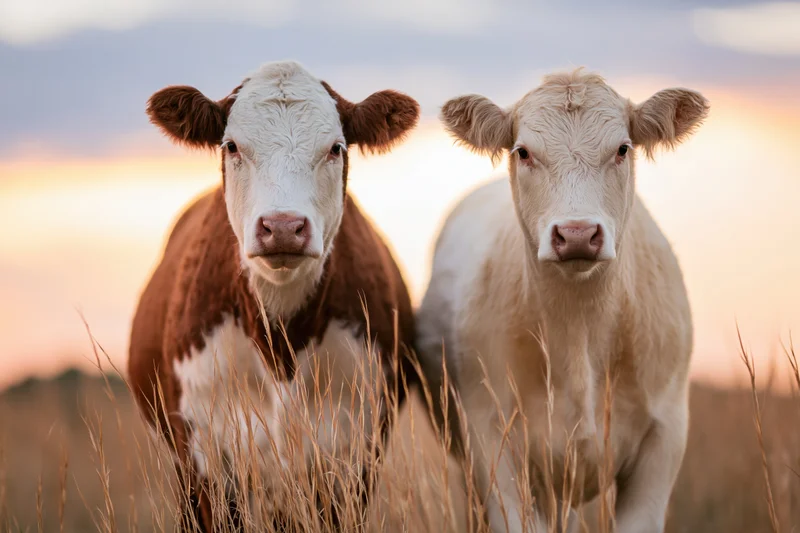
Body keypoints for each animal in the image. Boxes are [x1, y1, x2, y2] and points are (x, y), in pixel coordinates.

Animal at [127, 61, 421, 531]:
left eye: (335, 148)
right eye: (231, 145)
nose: (283, 226)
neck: (281, 343)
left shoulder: (355, 450)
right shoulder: (205, 452)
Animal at [416, 70, 709, 533]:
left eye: (623, 148)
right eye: (523, 152)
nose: (576, 234)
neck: (580, 331)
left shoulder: (664, 438)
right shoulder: (490, 439)